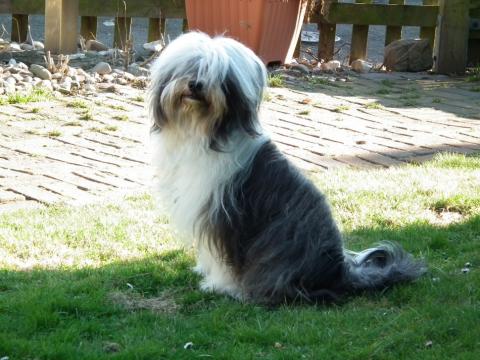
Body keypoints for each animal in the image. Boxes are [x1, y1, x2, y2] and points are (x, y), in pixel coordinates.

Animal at [145, 33, 424, 304]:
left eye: (216, 76)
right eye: (190, 68)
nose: (195, 84)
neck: (203, 130)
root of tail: (339, 271)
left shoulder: (225, 218)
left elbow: (223, 257)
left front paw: (219, 285)